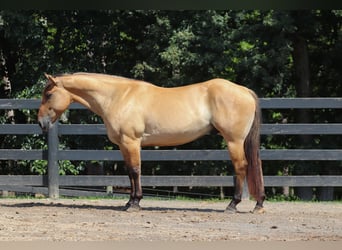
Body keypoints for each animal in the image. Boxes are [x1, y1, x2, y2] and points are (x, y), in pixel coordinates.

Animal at [38, 72, 266, 213]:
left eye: (49, 94)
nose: (41, 122)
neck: (117, 97)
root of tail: (244, 91)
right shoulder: (123, 145)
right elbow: (130, 172)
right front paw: (129, 201)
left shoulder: (131, 142)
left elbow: (135, 171)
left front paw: (135, 203)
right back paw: (258, 203)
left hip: (234, 141)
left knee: (241, 167)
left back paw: (233, 205)